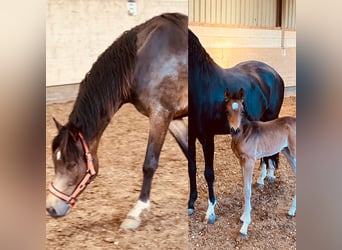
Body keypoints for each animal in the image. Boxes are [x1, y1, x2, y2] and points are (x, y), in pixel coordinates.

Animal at [45, 12, 188, 229]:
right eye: (55, 161)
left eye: (72, 165)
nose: (51, 208)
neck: (140, 59)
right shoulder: (173, 118)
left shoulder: (160, 114)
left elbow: (149, 163)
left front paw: (136, 213)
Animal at [187, 28, 284, 223]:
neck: (201, 85)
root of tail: (275, 74)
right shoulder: (191, 134)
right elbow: (192, 168)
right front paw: (191, 204)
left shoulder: (207, 137)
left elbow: (208, 173)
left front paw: (210, 212)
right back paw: (262, 178)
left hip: (272, 117)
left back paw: (269, 176)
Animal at [223, 88, 296, 236]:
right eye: (227, 111)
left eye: (242, 111)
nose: (235, 130)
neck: (244, 133)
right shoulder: (242, 161)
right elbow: (245, 186)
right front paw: (243, 217)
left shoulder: (250, 161)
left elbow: (247, 190)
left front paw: (245, 225)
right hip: (288, 152)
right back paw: (292, 211)